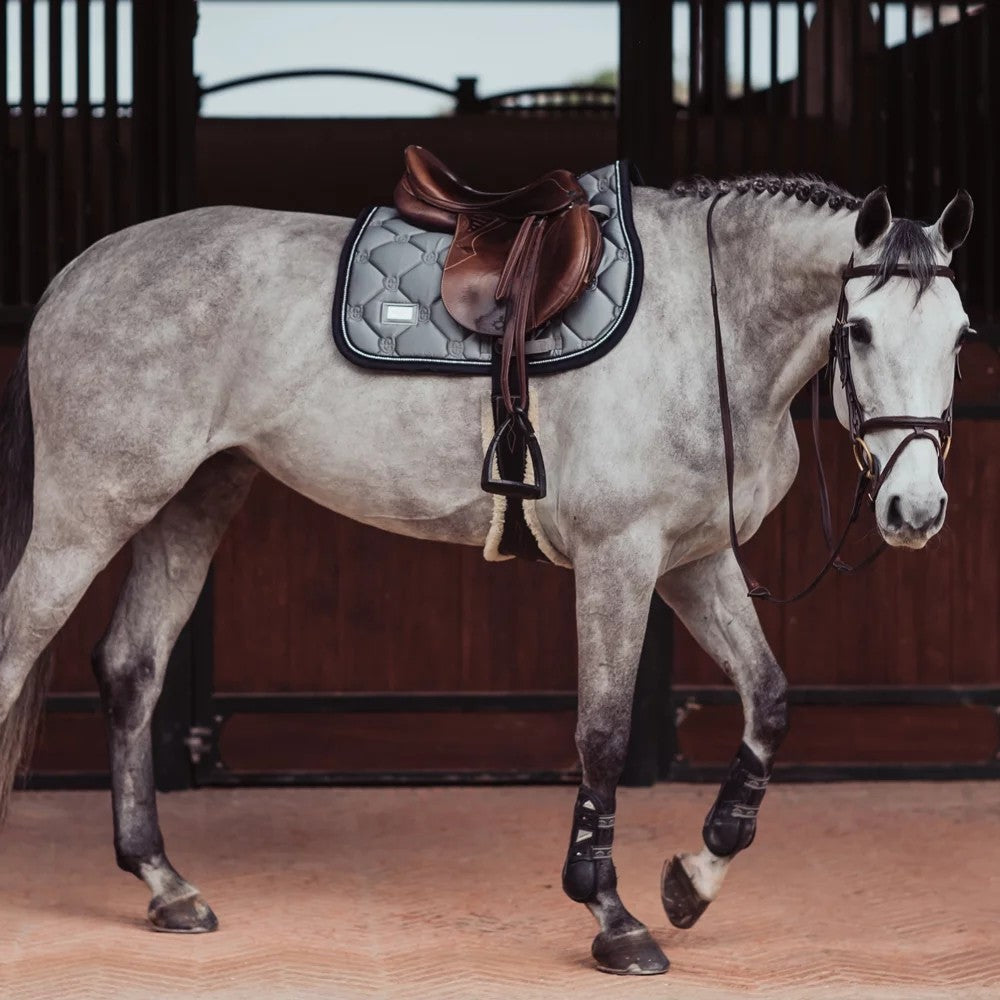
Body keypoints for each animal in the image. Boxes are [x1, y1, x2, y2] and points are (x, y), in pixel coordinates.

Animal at [0, 174, 968, 976]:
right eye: (859, 329)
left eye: (961, 336)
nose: (915, 510)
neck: (707, 329)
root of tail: (76, 273)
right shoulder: (620, 558)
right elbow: (603, 735)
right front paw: (613, 919)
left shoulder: (693, 560)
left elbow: (768, 698)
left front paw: (692, 881)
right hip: (91, 510)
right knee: (18, 653)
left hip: (192, 500)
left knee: (131, 669)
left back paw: (165, 884)